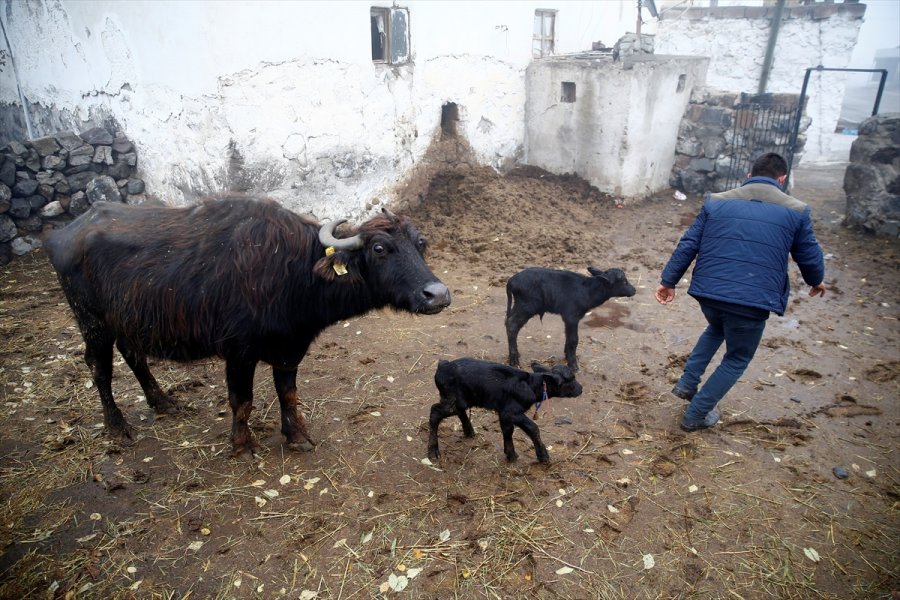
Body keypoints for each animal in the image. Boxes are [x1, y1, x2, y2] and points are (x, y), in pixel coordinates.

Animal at [44, 196, 450, 454]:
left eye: (421, 243)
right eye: (380, 249)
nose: (438, 295)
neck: (291, 269)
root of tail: (64, 233)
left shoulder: (290, 347)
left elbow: (288, 394)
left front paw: (297, 436)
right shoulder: (238, 353)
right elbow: (243, 399)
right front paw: (242, 444)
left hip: (128, 320)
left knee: (135, 357)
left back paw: (164, 403)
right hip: (92, 322)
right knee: (100, 368)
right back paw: (117, 427)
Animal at [428, 356, 584, 464]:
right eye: (571, 380)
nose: (581, 389)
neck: (530, 385)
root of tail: (443, 365)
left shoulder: (508, 413)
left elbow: (513, 429)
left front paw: (514, 454)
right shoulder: (510, 411)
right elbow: (530, 428)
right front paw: (523, 455)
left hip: (459, 399)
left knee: (459, 411)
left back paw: (469, 432)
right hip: (451, 400)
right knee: (435, 411)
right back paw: (433, 450)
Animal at [502, 268, 636, 370]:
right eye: (624, 281)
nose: (634, 290)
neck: (587, 291)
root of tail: (511, 280)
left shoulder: (567, 318)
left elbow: (568, 337)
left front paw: (567, 356)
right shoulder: (572, 317)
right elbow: (573, 340)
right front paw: (573, 365)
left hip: (518, 305)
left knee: (507, 321)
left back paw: (515, 355)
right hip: (527, 306)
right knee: (512, 324)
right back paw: (514, 362)